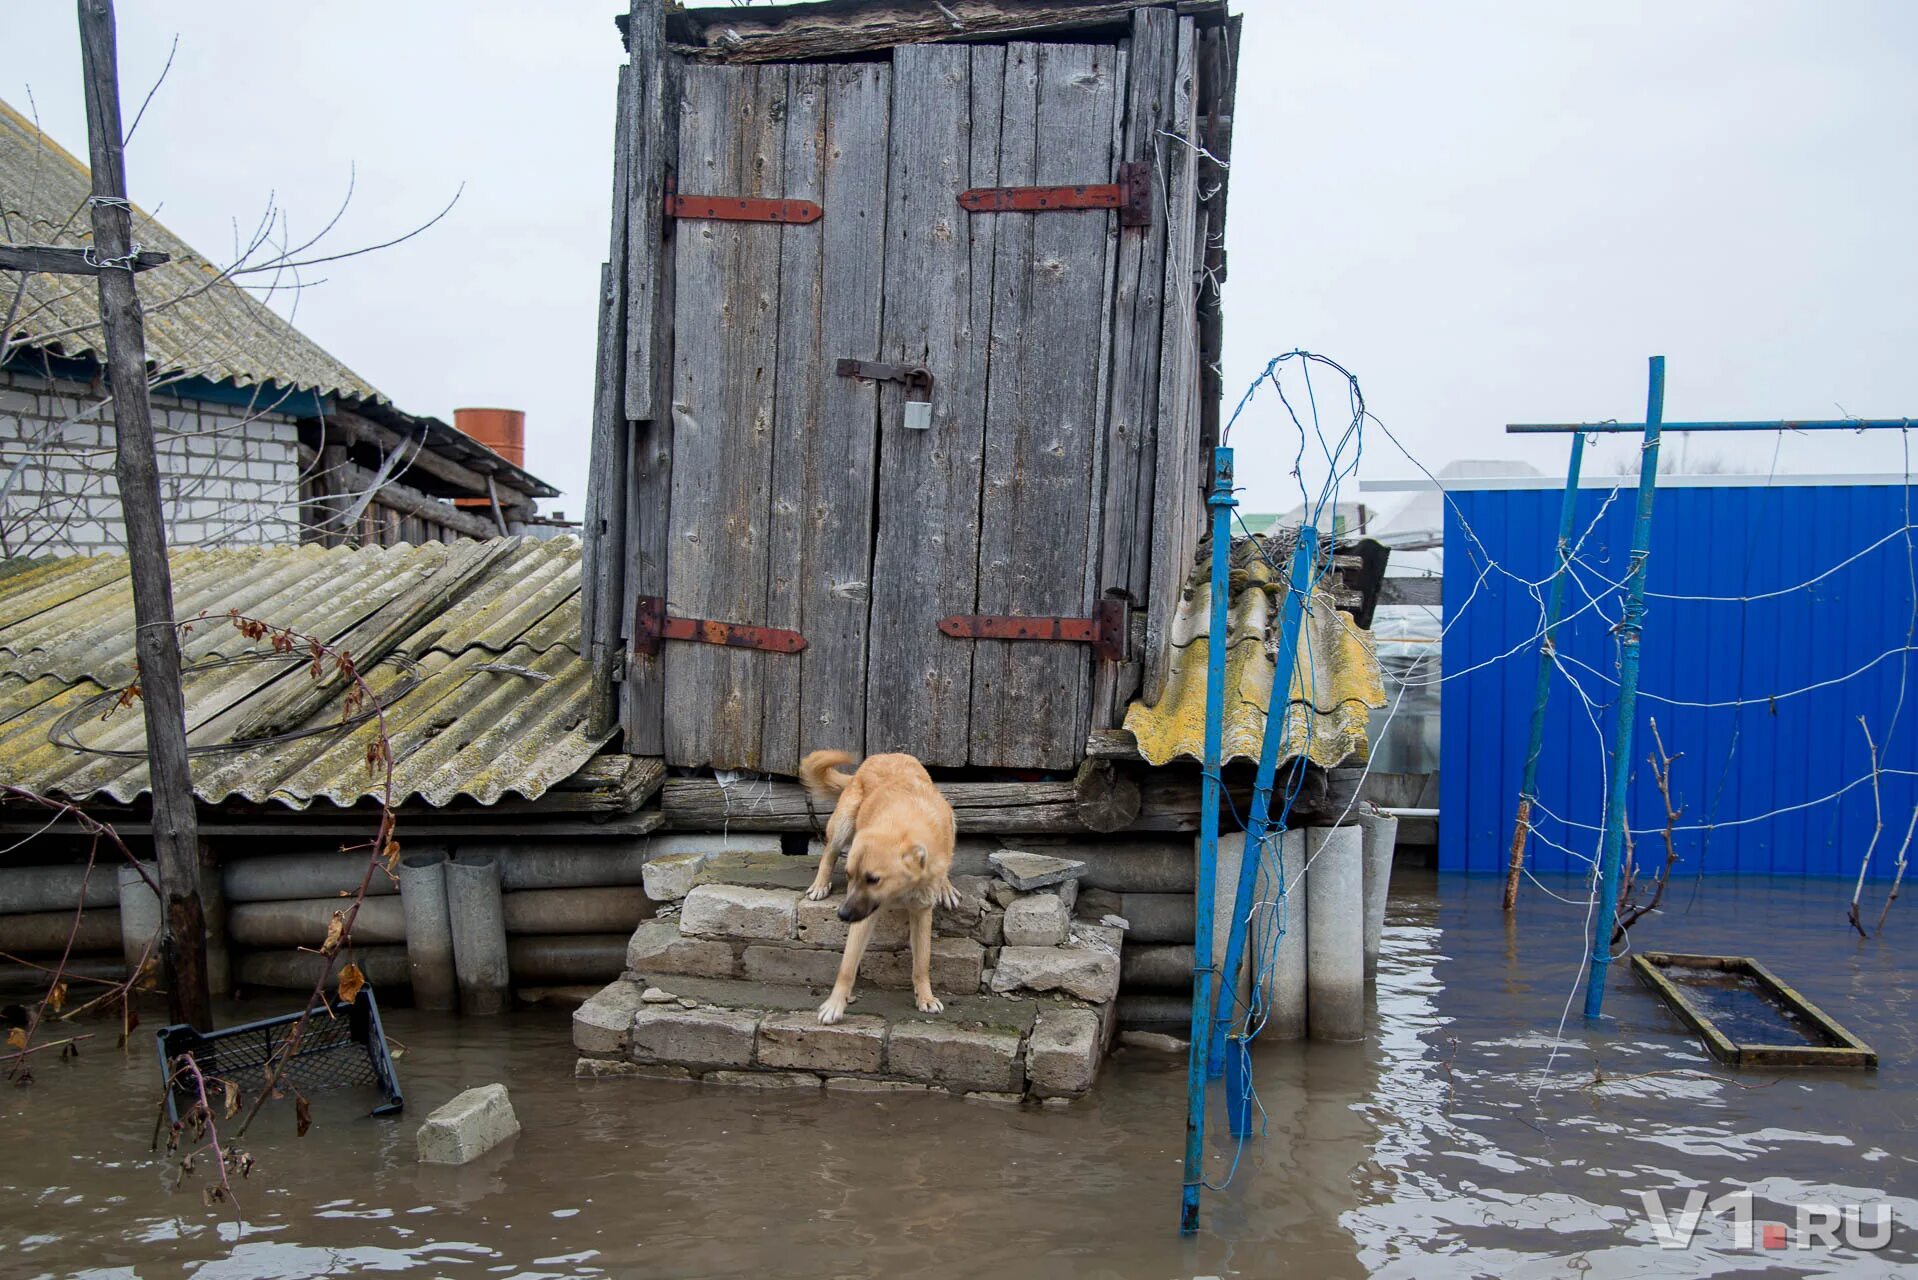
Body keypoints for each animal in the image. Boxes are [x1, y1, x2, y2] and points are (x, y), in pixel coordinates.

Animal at [801, 744, 966, 1028]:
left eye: (873, 879)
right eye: (850, 876)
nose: (842, 915)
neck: (903, 828)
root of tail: (882, 755)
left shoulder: (921, 912)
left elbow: (922, 963)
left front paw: (925, 997)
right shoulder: (863, 914)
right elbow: (847, 967)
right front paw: (835, 1005)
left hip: (951, 818)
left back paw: (945, 886)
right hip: (844, 823)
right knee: (829, 852)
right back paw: (820, 884)